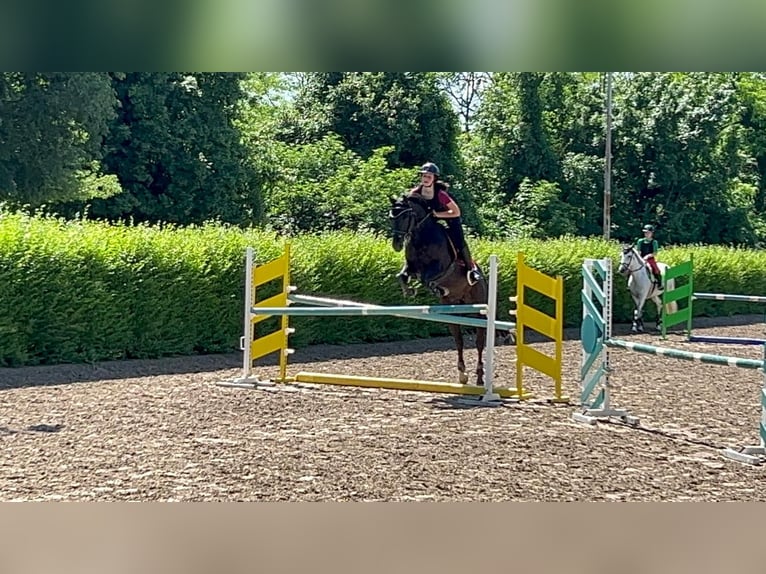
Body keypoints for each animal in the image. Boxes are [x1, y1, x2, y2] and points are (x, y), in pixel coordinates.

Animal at [390, 194, 492, 388]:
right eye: (391, 217)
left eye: (405, 216)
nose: (396, 245)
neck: (421, 236)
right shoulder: (411, 266)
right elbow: (402, 275)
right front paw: (409, 291)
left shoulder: (440, 268)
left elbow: (427, 278)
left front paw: (434, 288)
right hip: (453, 312)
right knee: (459, 340)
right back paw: (462, 374)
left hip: (480, 310)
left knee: (479, 342)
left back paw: (480, 377)